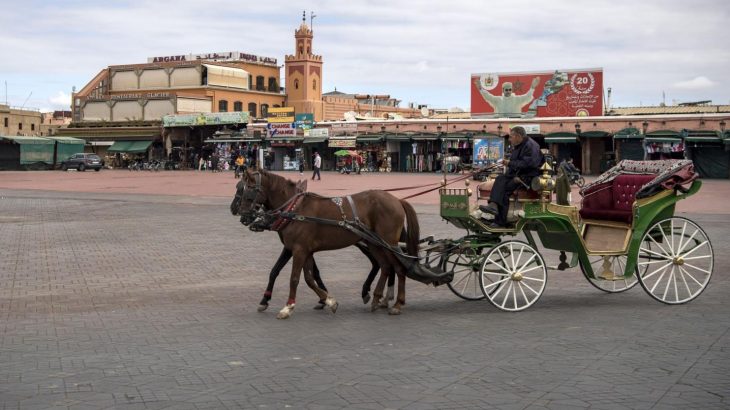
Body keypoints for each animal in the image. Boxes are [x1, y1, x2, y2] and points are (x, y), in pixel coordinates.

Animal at [235, 168, 420, 318]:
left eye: (249, 188)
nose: (243, 215)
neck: (296, 209)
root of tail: (397, 200)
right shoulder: (305, 250)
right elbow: (309, 278)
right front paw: (329, 300)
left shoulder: (299, 250)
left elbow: (294, 278)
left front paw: (288, 307)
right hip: (375, 243)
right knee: (386, 267)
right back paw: (377, 299)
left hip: (388, 243)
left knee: (399, 268)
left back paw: (397, 304)